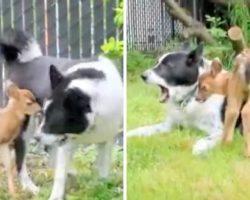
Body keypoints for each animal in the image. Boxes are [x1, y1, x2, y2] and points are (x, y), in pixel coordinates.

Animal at [0, 29, 122, 200]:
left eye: (54, 119)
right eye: (44, 113)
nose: (37, 138)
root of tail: (21, 62)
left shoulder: (105, 140)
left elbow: (103, 170)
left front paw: (103, 188)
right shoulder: (65, 141)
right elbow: (59, 176)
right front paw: (55, 196)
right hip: (25, 128)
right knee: (20, 159)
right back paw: (29, 186)